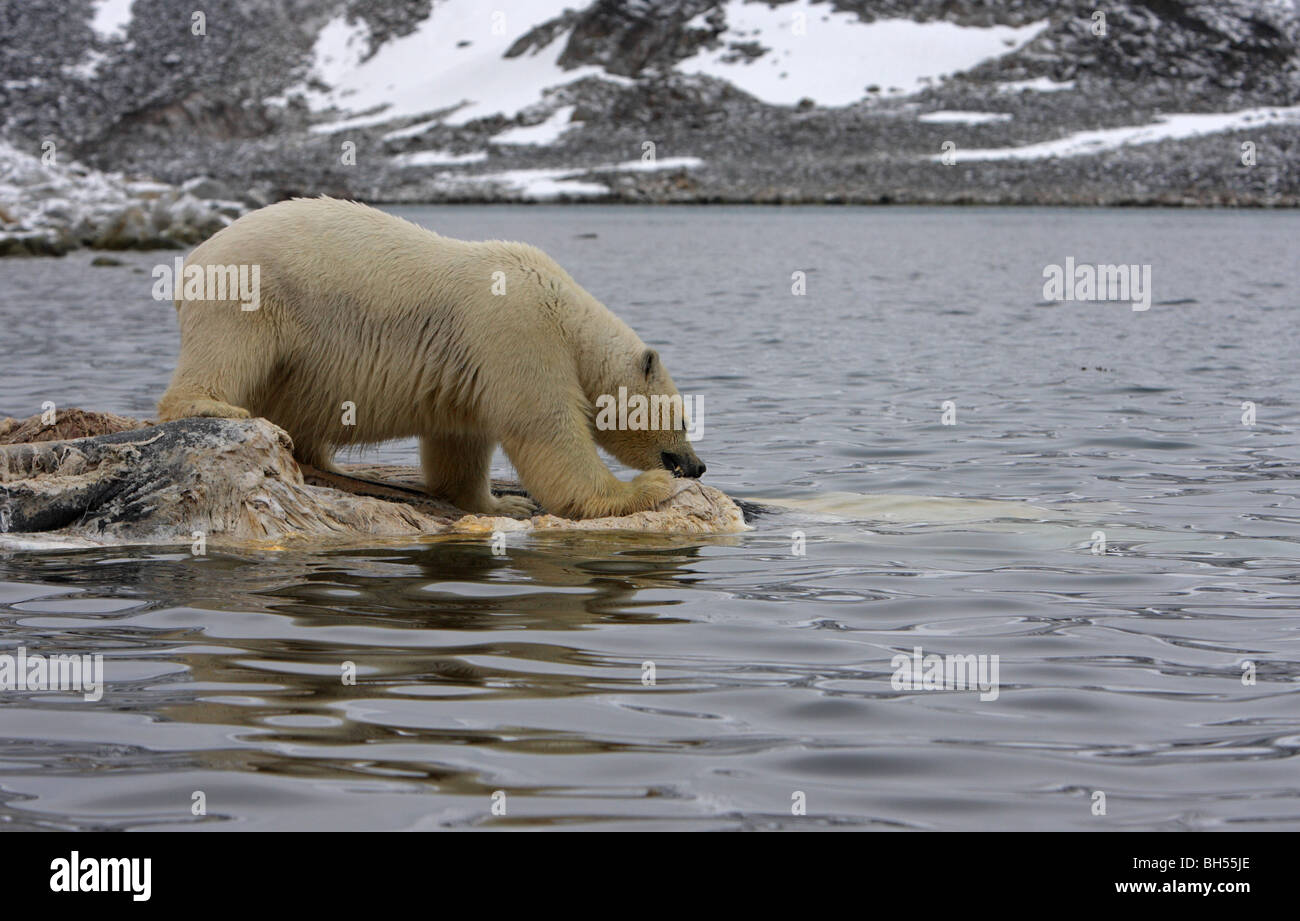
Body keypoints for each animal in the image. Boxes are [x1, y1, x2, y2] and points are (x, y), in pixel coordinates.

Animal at [156, 197, 707, 522]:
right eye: (683, 418)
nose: (697, 465)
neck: (564, 310)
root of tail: (194, 258)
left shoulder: (474, 361)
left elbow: (458, 442)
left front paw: (501, 501)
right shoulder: (518, 331)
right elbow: (546, 429)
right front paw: (642, 489)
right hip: (251, 292)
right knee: (229, 350)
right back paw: (213, 406)